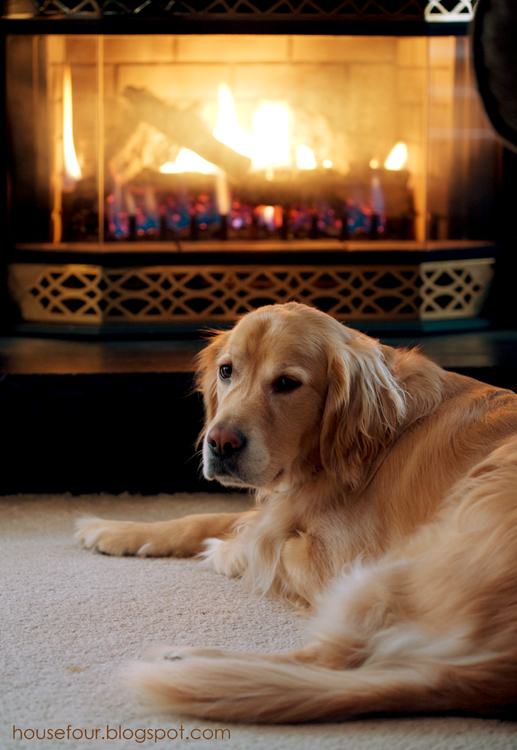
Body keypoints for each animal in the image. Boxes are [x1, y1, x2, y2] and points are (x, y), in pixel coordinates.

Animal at [73, 302, 517, 724]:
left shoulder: (336, 561)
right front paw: (114, 529)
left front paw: (227, 553)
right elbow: (210, 520)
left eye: (287, 383)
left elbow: (264, 540)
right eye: (226, 371)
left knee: (328, 661)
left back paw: (191, 661)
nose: (220, 442)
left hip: (399, 564)